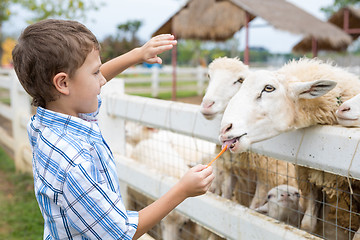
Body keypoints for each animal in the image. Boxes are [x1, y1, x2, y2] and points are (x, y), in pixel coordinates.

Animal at [201, 56, 296, 208]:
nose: (207, 105)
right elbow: (226, 197)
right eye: (209, 76)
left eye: (240, 80)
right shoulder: (230, 171)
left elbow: (254, 207)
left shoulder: (266, 180)